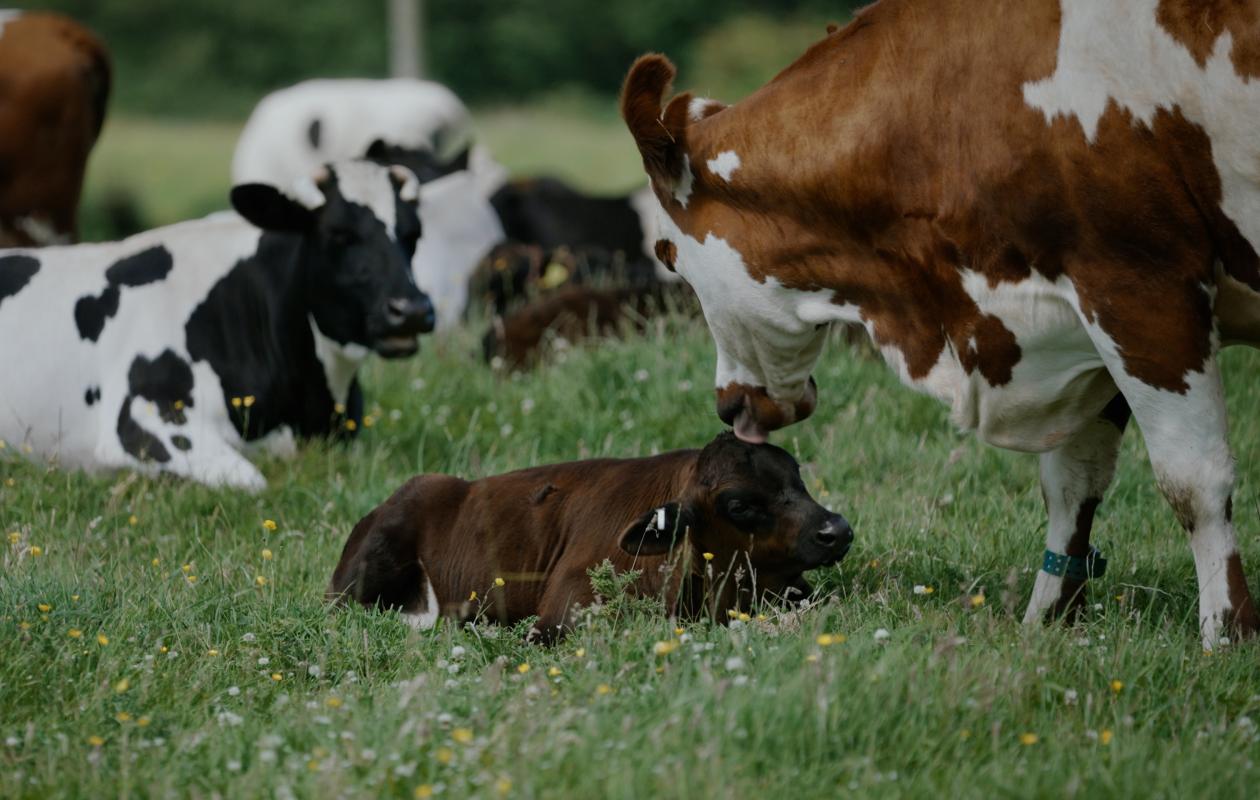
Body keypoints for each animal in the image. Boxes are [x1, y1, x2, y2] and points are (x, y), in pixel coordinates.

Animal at [621, 0, 1260, 649]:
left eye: (668, 254)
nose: (727, 405)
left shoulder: (1140, 288)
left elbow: (1193, 483)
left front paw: (1226, 636)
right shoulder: (1080, 324)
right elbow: (1072, 485)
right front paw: (1050, 622)